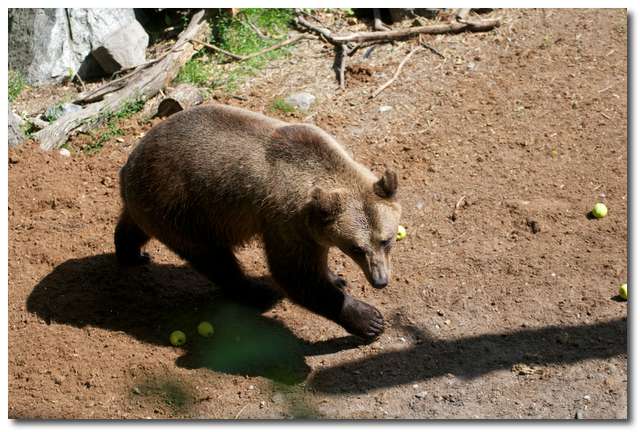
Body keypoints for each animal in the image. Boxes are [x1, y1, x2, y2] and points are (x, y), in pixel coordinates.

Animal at [116, 104, 400, 338]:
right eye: (356, 248)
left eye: (387, 240)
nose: (380, 281)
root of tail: (130, 163)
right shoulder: (286, 220)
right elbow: (295, 274)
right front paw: (368, 319)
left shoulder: (310, 224)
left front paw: (335, 277)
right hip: (183, 207)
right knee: (214, 258)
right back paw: (256, 292)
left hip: (153, 204)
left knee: (133, 226)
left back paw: (132, 253)